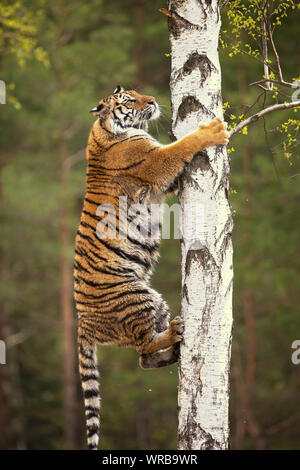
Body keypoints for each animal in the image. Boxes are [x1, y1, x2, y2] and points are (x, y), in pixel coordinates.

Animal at [74, 85, 229, 452]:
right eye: (129, 100)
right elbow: (180, 148)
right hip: (135, 296)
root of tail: (82, 322)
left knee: (144, 357)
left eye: (134, 92)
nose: (153, 101)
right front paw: (212, 131)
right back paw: (174, 335)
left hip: (153, 299)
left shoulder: (165, 180)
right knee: (143, 346)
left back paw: (173, 345)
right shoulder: (155, 162)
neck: (107, 130)